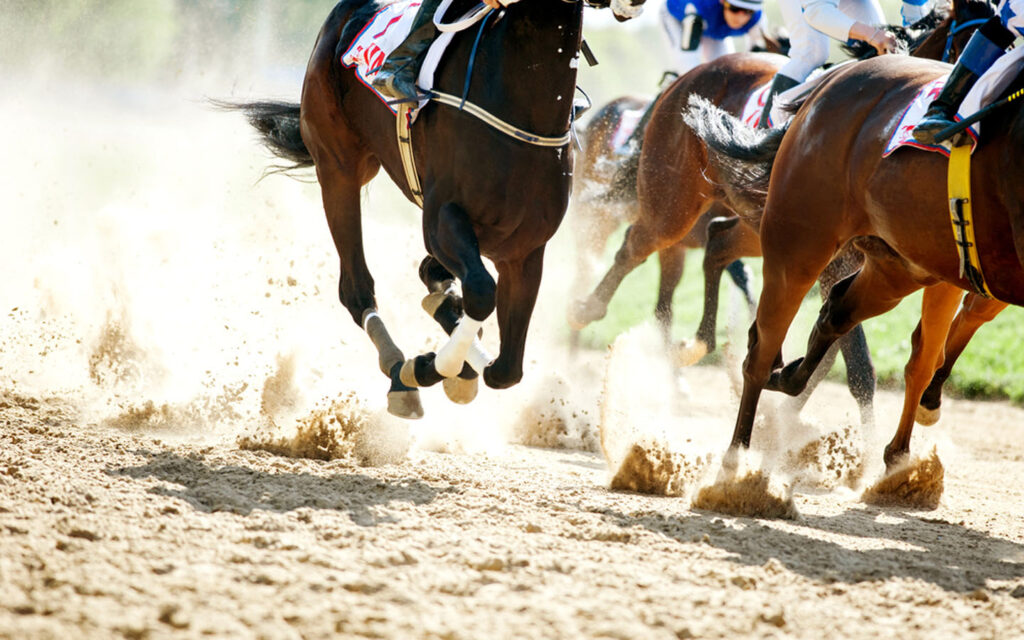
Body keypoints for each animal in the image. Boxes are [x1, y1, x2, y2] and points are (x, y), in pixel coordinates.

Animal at [229, 0, 647, 419]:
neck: (523, 103)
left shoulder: (524, 250)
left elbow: (506, 369)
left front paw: (455, 360)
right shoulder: (443, 218)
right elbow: (481, 292)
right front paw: (429, 367)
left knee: (430, 277)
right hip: (339, 168)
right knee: (356, 288)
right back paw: (399, 370)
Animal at [687, 51, 1024, 471]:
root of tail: (834, 78)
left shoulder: (960, 272)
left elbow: (927, 351)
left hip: (896, 268)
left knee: (835, 313)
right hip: (798, 245)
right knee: (763, 346)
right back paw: (737, 461)